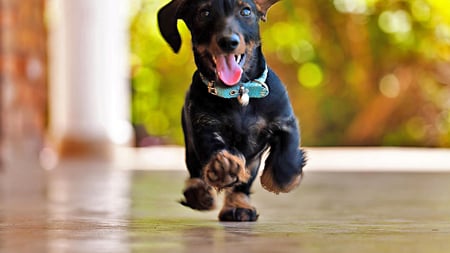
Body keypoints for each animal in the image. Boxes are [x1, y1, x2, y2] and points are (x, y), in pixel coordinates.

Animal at [158, 0, 306, 221]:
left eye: (246, 11)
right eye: (204, 12)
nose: (228, 42)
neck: (238, 92)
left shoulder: (285, 121)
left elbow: (287, 151)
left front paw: (283, 178)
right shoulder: (203, 125)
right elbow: (213, 147)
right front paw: (223, 168)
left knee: (242, 186)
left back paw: (238, 206)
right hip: (191, 149)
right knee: (196, 171)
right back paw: (198, 193)